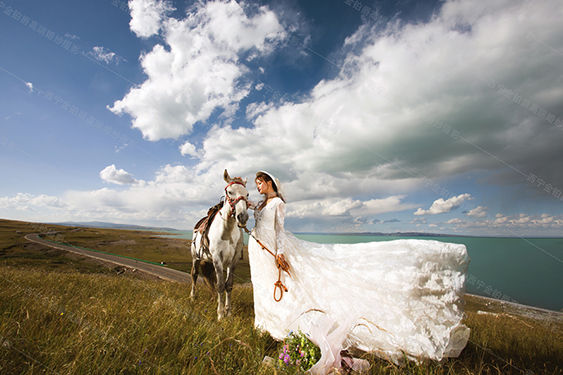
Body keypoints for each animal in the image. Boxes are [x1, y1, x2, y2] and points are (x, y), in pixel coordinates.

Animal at [192, 170, 249, 320]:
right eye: (229, 191)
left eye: (247, 194)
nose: (242, 217)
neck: (227, 231)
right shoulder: (218, 258)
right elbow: (220, 285)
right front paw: (220, 315)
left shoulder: (233, 260)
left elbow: (229, 284)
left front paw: (228, 313)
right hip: (195, 257)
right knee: (194, 274)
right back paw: (192, 297)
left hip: (207, 261)